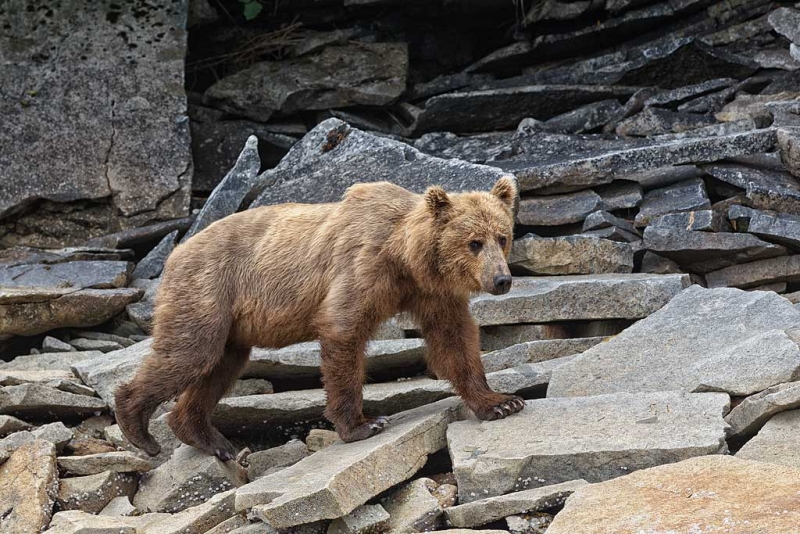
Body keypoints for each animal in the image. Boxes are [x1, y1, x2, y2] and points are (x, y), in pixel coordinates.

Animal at [114, 178, 524, 462]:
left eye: (502, 236)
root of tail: (176, 251)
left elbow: (455, 341)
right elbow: (343, 331)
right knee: (191, 353)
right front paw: (363, 424)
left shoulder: (432, 294)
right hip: (208, 290)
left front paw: (500, 402)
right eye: (473, 242)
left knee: (220, 366)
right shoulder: (363, 268)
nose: (501, 280)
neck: (406, 258)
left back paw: (213, 441)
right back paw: (138, 427)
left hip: (232, 324)